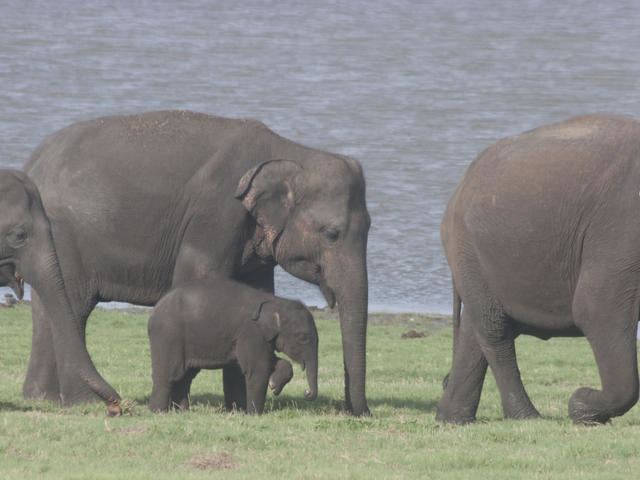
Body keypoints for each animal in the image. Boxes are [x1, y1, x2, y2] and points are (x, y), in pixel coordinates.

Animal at [147, 280, 318, 414]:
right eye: (303, 338)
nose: (306, 392)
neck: (275, 301)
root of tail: (154, 310)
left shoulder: (261, 337)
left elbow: (273, 362)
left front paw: (274, 386)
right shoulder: (250, 332)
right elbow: (258, 369)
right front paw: (254, 414)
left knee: (185, 376)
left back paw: (182, 411)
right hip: (167, 336)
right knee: (167, 374)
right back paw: (158, 412)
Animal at [438, 114, 640, 426]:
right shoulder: (621, 226)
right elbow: (595, 310)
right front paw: (580, 408)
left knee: (476, 328)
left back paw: (452, 419)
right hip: (467, 246)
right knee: (494, 329)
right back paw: (527, 417)